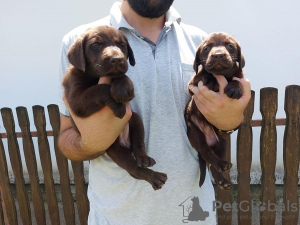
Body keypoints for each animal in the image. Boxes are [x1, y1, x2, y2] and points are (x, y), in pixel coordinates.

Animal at [62, 25, 168, 189]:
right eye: (96, 45)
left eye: (122, 45)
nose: (117, 59)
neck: (94, 76)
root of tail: (125, 142)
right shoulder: (76, 101)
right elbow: (99, 89)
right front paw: (118, 107)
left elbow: (121, 76)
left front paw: (121, 87)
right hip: (115, 149)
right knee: (134, 168)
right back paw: (155, 178)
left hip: (136, 120)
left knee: (139, 146)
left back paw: (145, 159)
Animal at [184, 32, 245, 190]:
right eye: (206, 48)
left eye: (230, 46)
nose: (218, 55)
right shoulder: (192, 85)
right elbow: (204, 75)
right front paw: (210, 80)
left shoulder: (241, 76)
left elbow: (237, 80)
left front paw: (234, 88)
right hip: (195, 132)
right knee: (206, 152)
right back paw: (221, 164)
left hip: (222, 144)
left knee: (212, 164)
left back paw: (223, 180)